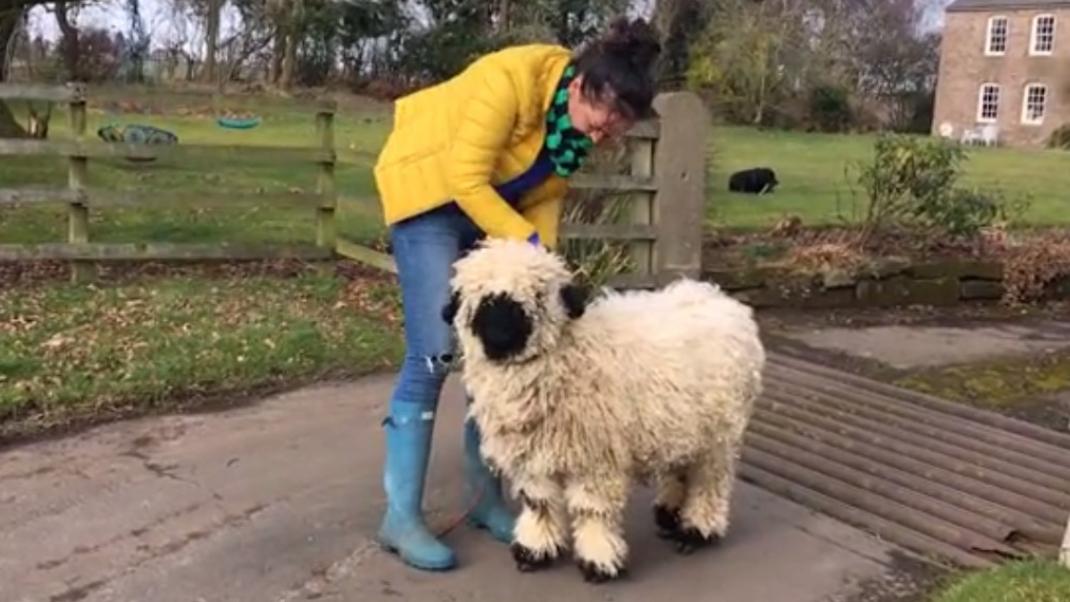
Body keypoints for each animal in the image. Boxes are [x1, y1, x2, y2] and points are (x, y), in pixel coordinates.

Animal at [442, 239, 770, 585]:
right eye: (479, 297)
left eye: (538, 294)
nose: (500, 334)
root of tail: (721, 299)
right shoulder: (533, 457)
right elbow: (539, 503)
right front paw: (535, 550)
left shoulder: (596, 460)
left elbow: (593, 510)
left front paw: (599, 561)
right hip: (682, 423)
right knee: (681, 466)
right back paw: (669, 513)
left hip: (720, 433)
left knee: (711, 481)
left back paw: (696, 531)